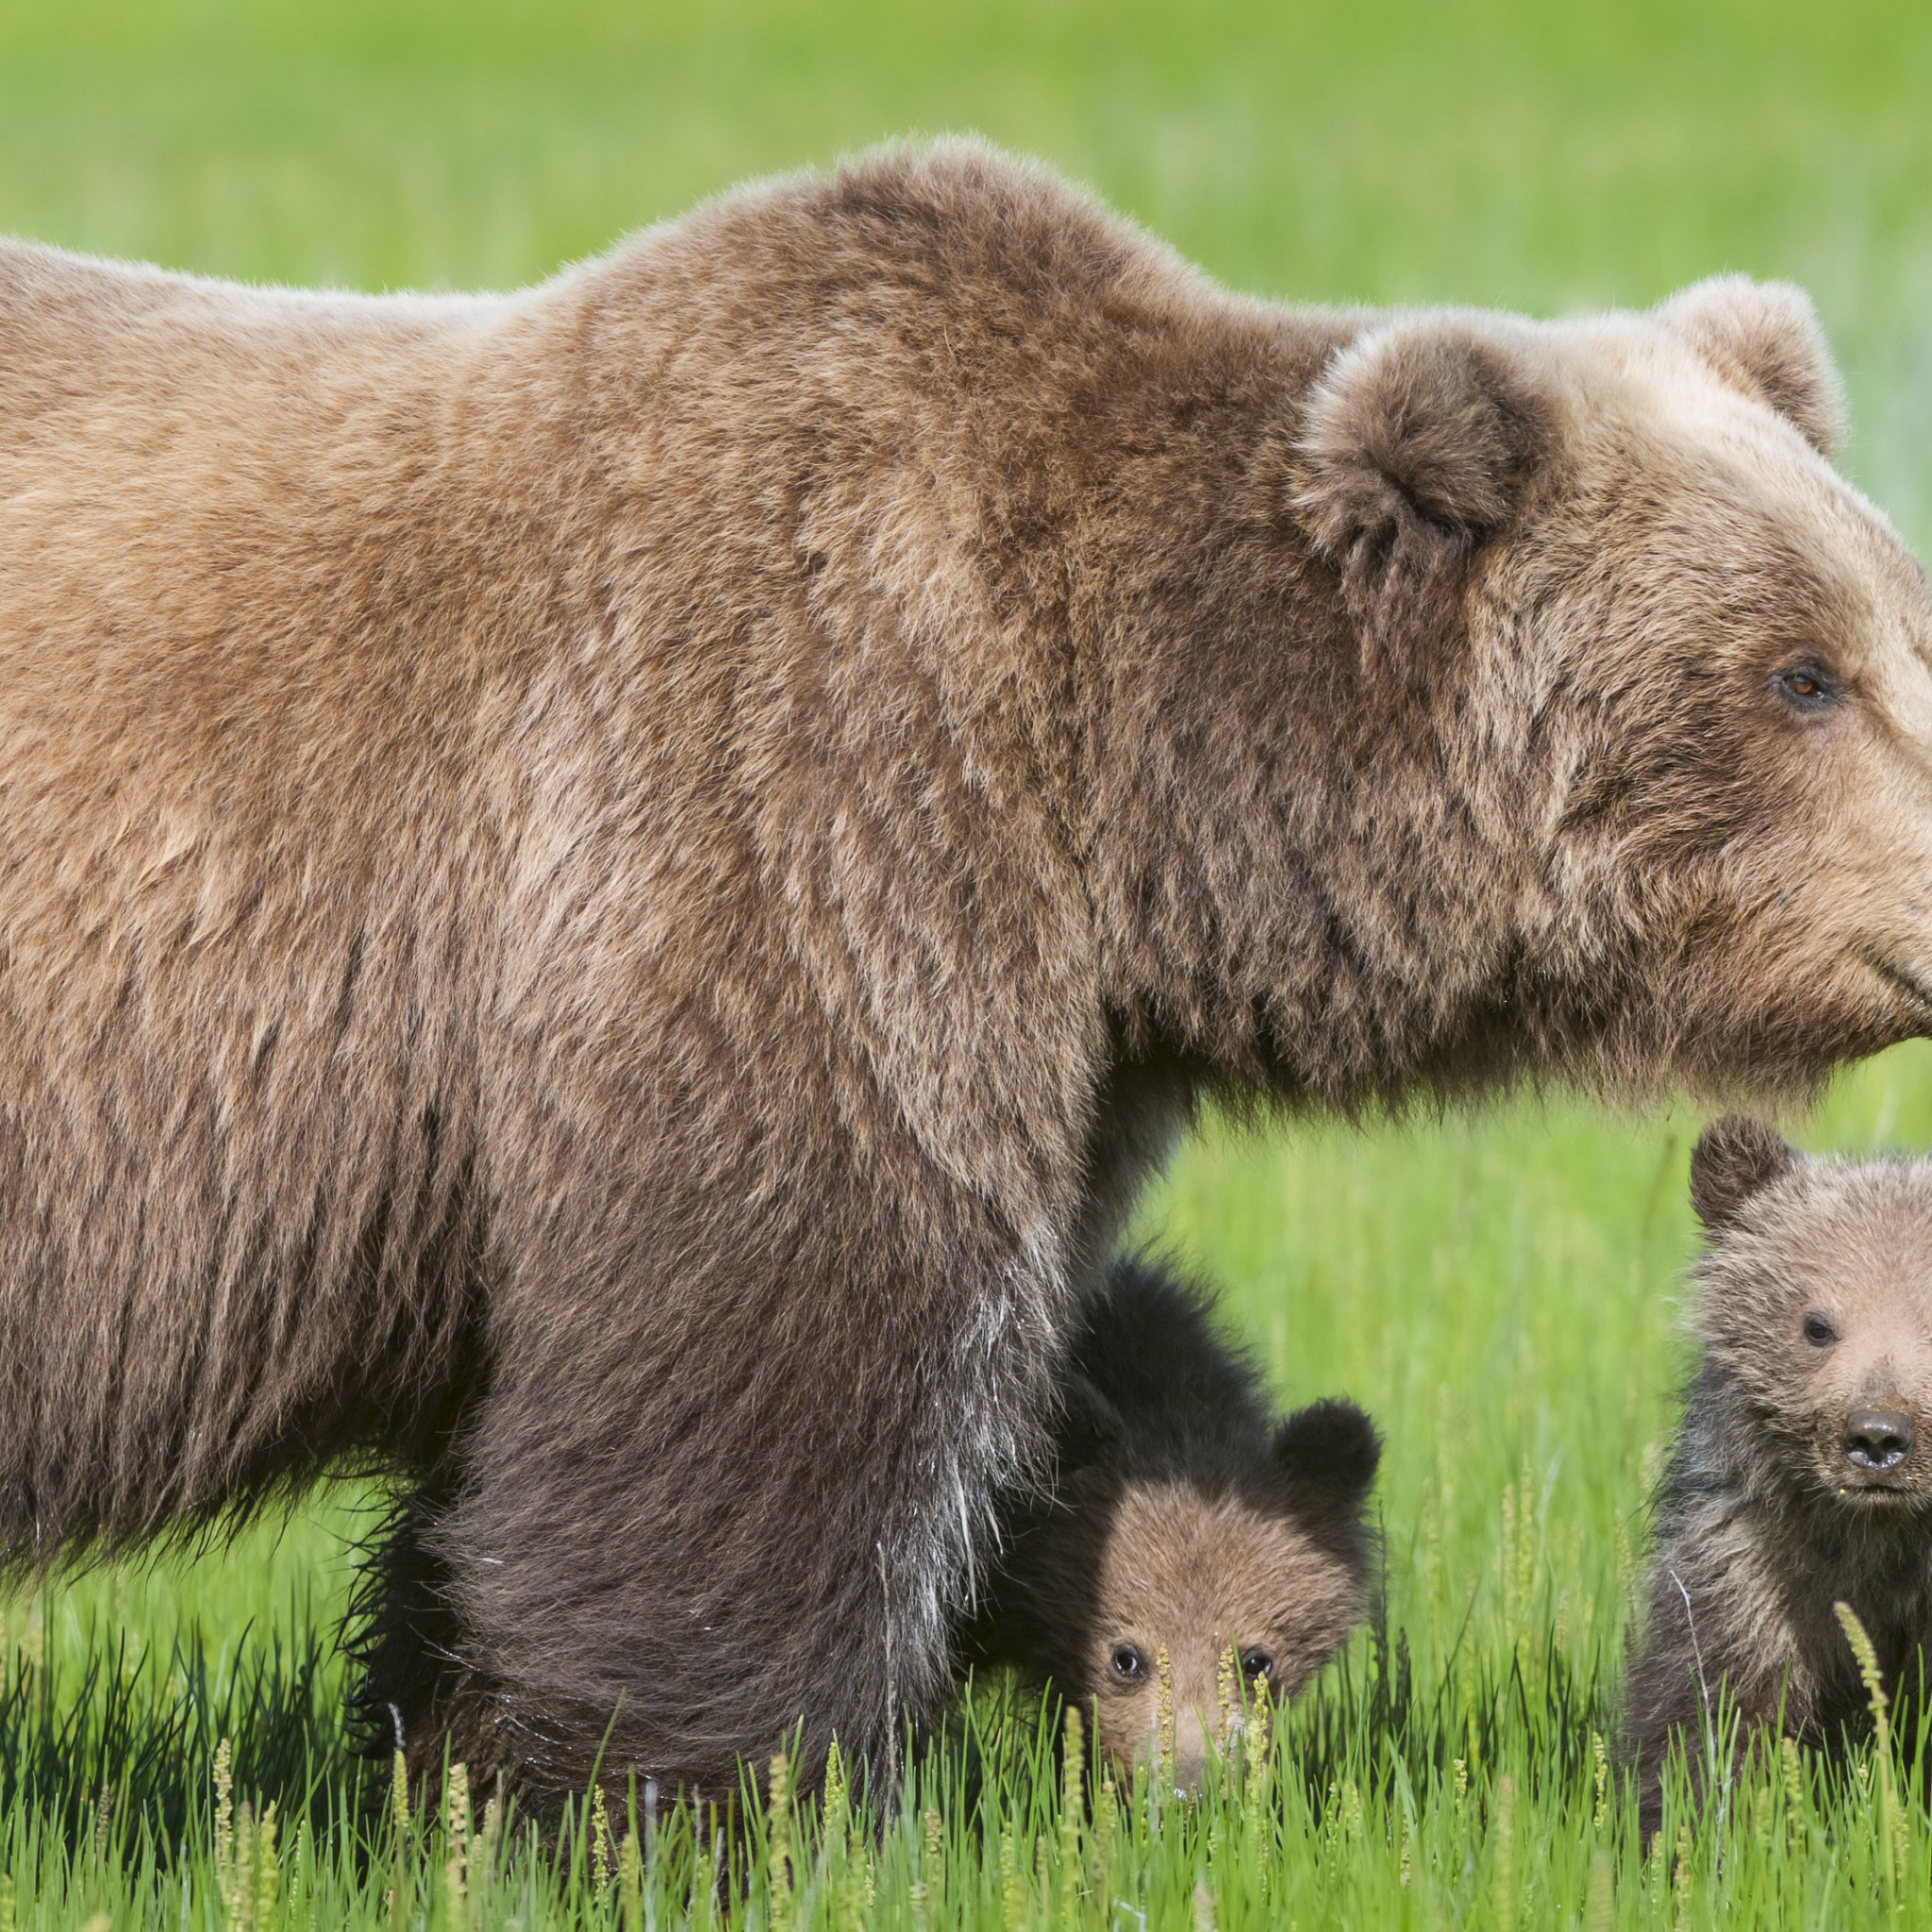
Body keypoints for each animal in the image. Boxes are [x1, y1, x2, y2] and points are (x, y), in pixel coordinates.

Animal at [4, 142, 1932, 1800]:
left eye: (1900, 622)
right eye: (1798, 675)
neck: (1128, 790)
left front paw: (457, 1774)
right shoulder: (787, 830)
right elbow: (764, 1399)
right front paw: (724, 1801)